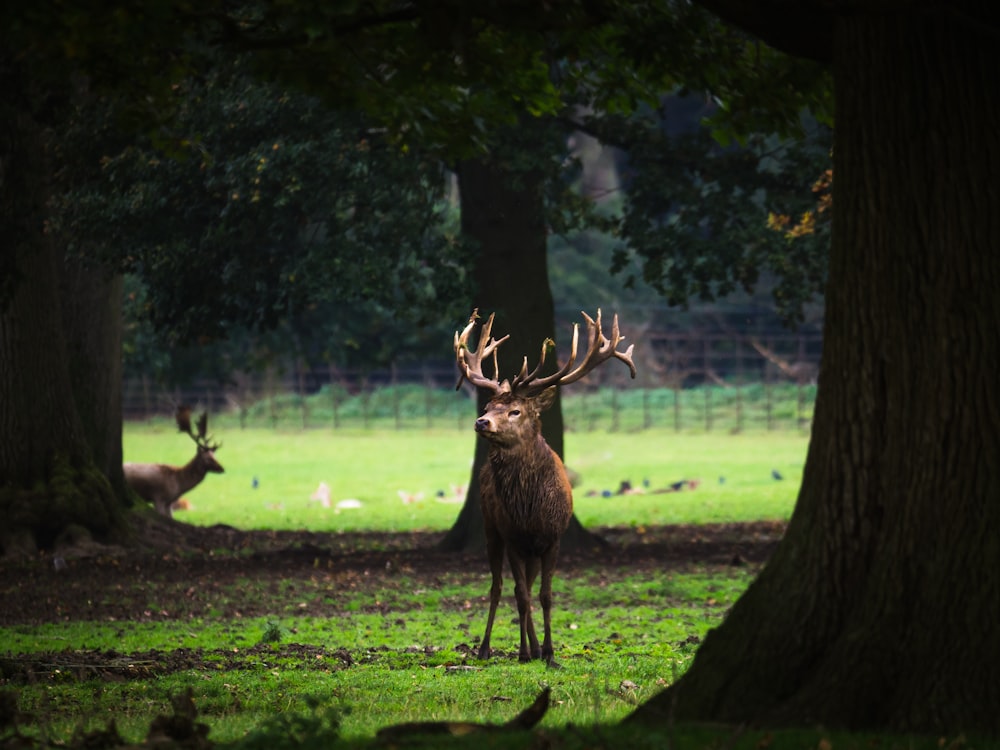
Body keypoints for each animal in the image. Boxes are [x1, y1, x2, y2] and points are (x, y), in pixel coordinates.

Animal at [458, 308, 636, 668]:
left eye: (515, 410)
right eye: (487, 408)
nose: (481, 422)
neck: (529, 510)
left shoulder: (553, 537)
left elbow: (546, 595)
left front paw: (551, 652)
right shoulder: (513, 535)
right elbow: (521, 595)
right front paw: (525, 652)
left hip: (531, 547)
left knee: (527, 584)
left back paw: (537, 647)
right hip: (491, 527)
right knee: (499, 587)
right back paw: (488, 648)